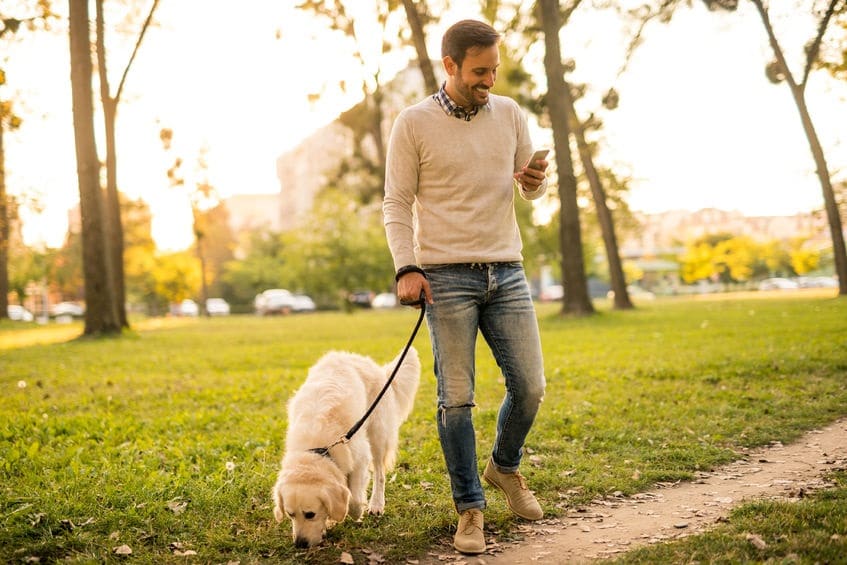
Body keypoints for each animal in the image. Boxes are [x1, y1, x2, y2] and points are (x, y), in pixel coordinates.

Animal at [272, 344, 420, 548]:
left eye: (310, 514)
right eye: (290, 514)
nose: (299, 544)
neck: (318, 448)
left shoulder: (360, 457)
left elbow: (354, 499)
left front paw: (355, 512)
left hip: (377, 435)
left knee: (380, 474)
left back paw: (376, 504)